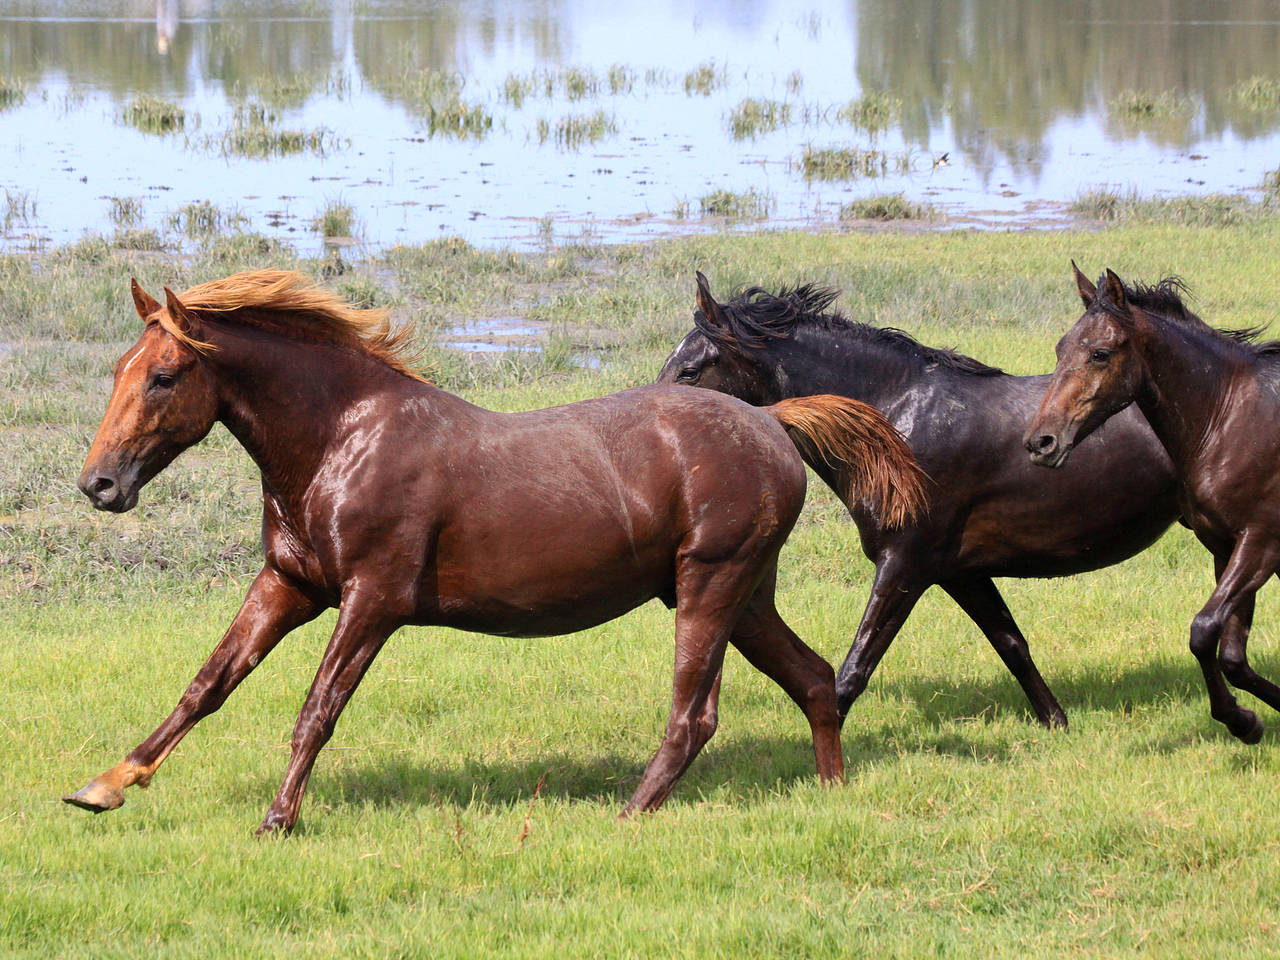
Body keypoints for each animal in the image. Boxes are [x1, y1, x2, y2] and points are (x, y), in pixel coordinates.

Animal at [64, 271, 926, 834]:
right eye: (120, 369)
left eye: (165, 375)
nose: (99, 484)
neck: (343, 438)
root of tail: (774, 421)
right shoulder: (288, 585)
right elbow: (207, 684)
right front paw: (104, 785)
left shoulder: (372, 599)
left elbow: (317, 709)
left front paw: (277, 820)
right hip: (741, 594)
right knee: (812, 677)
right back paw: (831, 793)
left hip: (712, 584)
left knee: (694, 713)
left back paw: (628, 814)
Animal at [660, 272, 1177, 727]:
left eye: (690, 370)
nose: (661, 427)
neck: (895, 423)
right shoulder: (961, 572)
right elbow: (1011, 643)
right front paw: (1056, 721)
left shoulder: (905, 563)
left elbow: (854, 669)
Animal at [1029, 267, 1280, 747]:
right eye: (1059, 349)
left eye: (1100, 353)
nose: (1041, 442)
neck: (1229, 417)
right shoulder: (1225, 546)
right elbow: (1231, 654)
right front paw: (1249, 721)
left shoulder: (1261, 542)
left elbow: (1203, 632)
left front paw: (1241, 720)